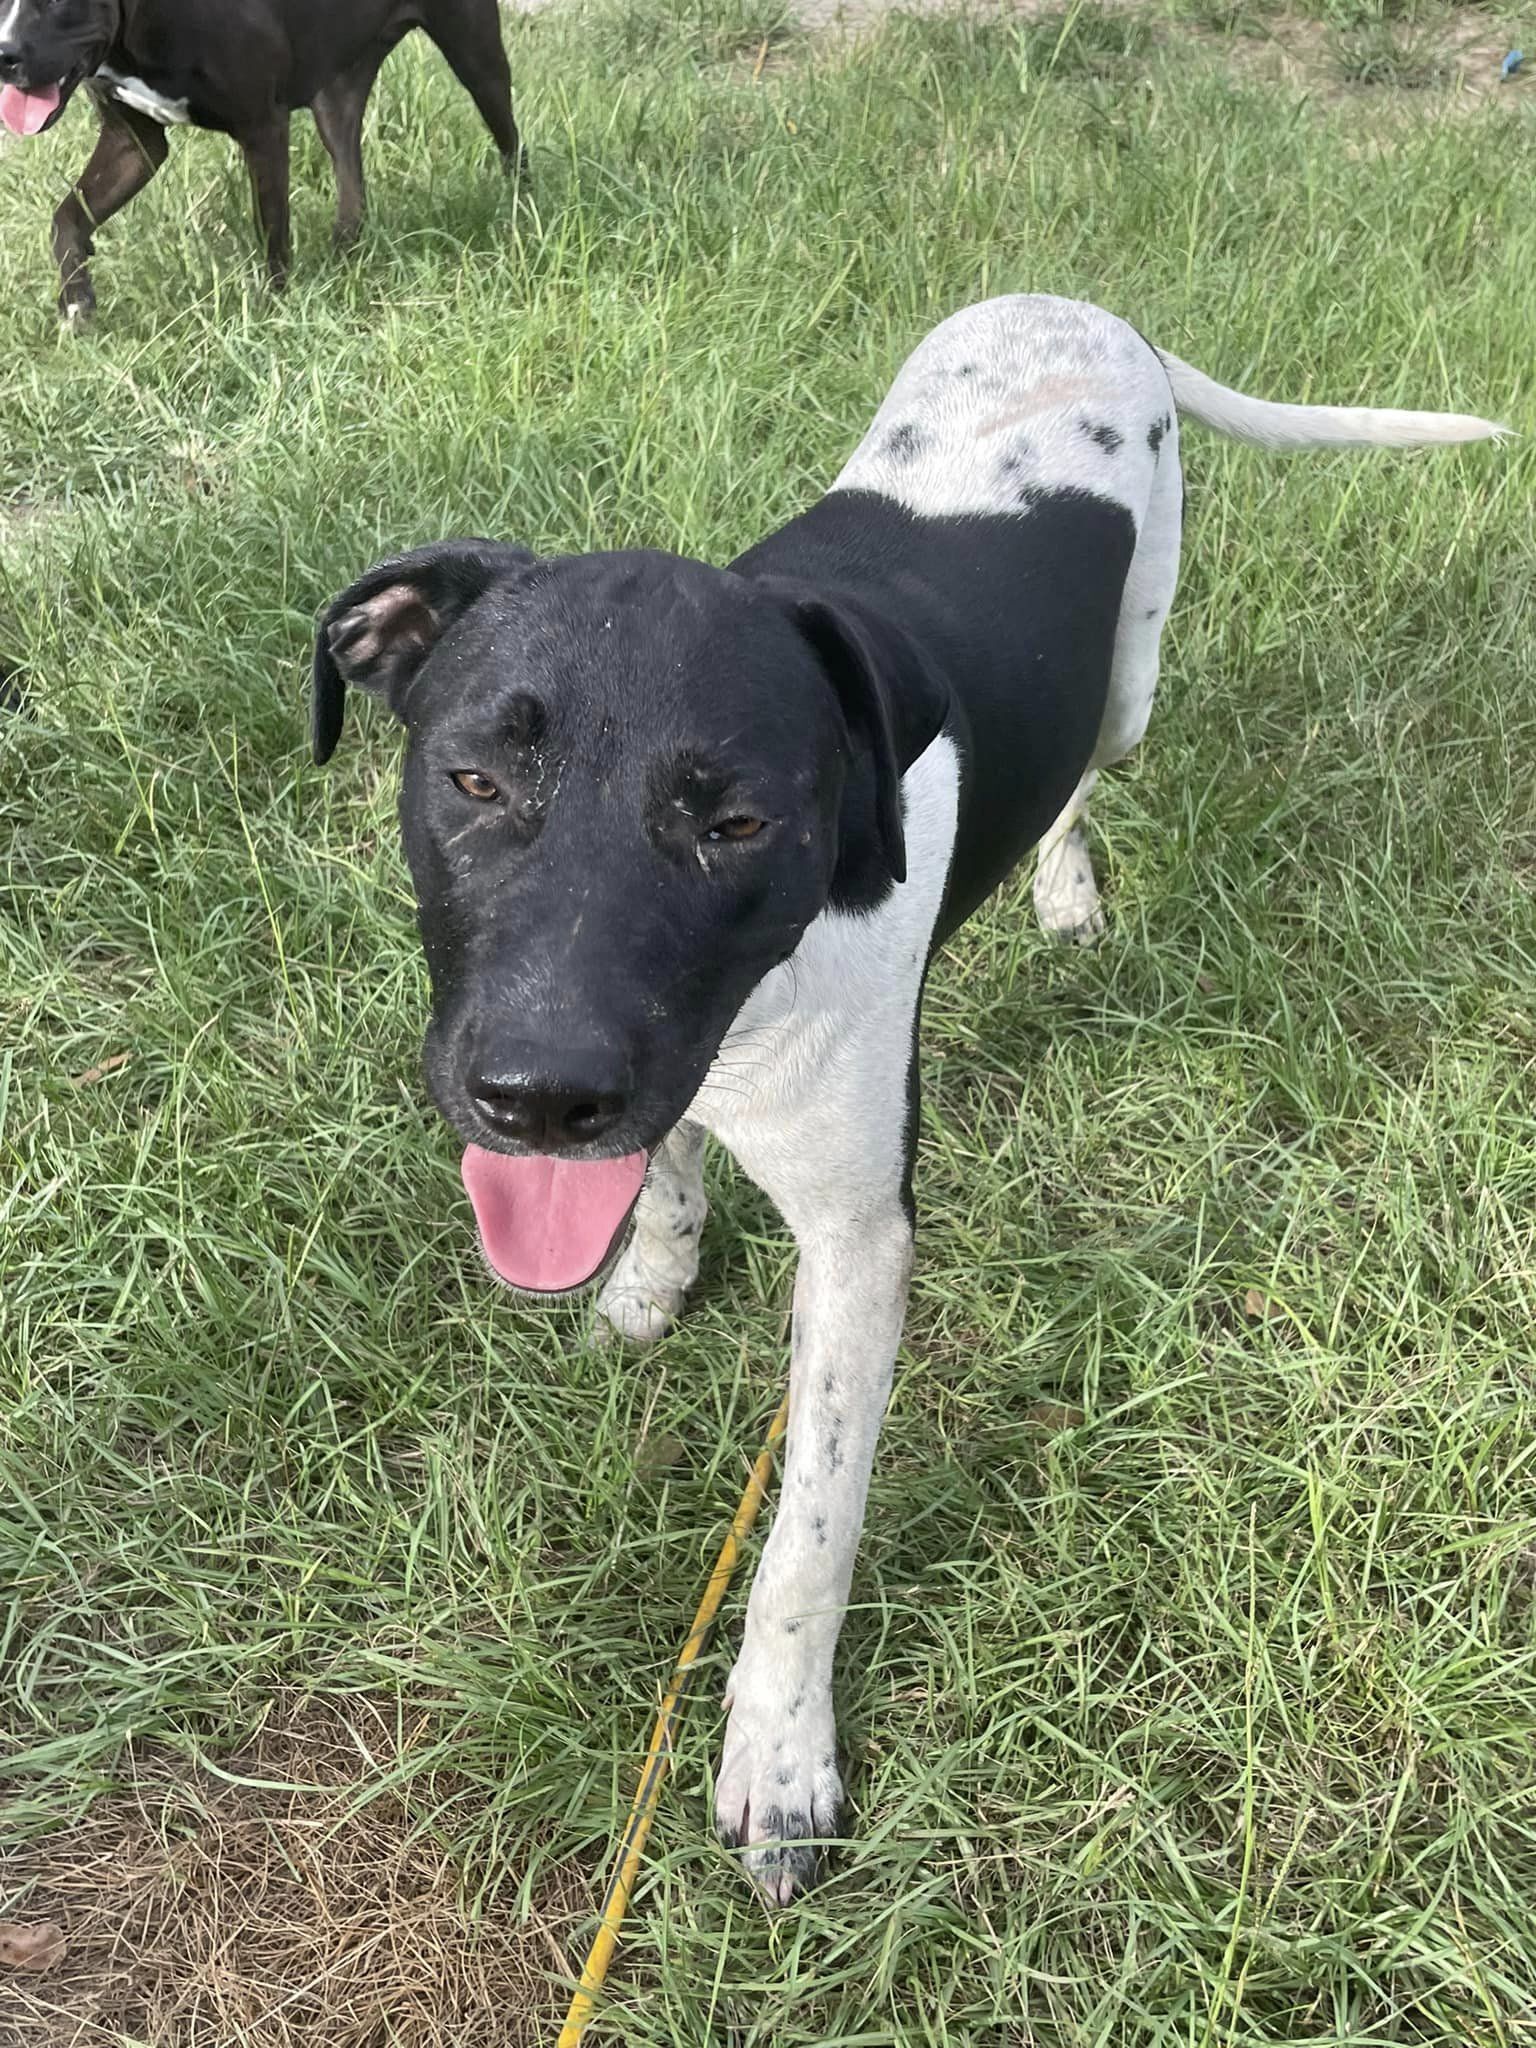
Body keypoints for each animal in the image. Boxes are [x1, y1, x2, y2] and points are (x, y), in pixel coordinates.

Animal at [0, 0, 524, 319]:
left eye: (57, 1)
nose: (5, 54)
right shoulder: (133, 143)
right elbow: (66, 218)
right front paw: (77, 300)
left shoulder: (263, 128)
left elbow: (271, 227)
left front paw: (274, 309)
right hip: (336, 96)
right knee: (350, 177)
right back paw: (345, 253)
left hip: (474, 52)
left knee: (510, 139)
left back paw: (521, 211)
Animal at [309, 296, 1507, 1892]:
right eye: (474, 781)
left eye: (739, 819)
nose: (533, 1098)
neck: (760, 998)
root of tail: (1086, 307)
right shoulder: (659, 1085)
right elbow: (664, 1175)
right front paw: (647, 1286)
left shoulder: (862, 1244)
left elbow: (805, 1541)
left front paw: (778, 1758)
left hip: (1128, 686)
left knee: (1085, 776)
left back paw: (1064, 891)